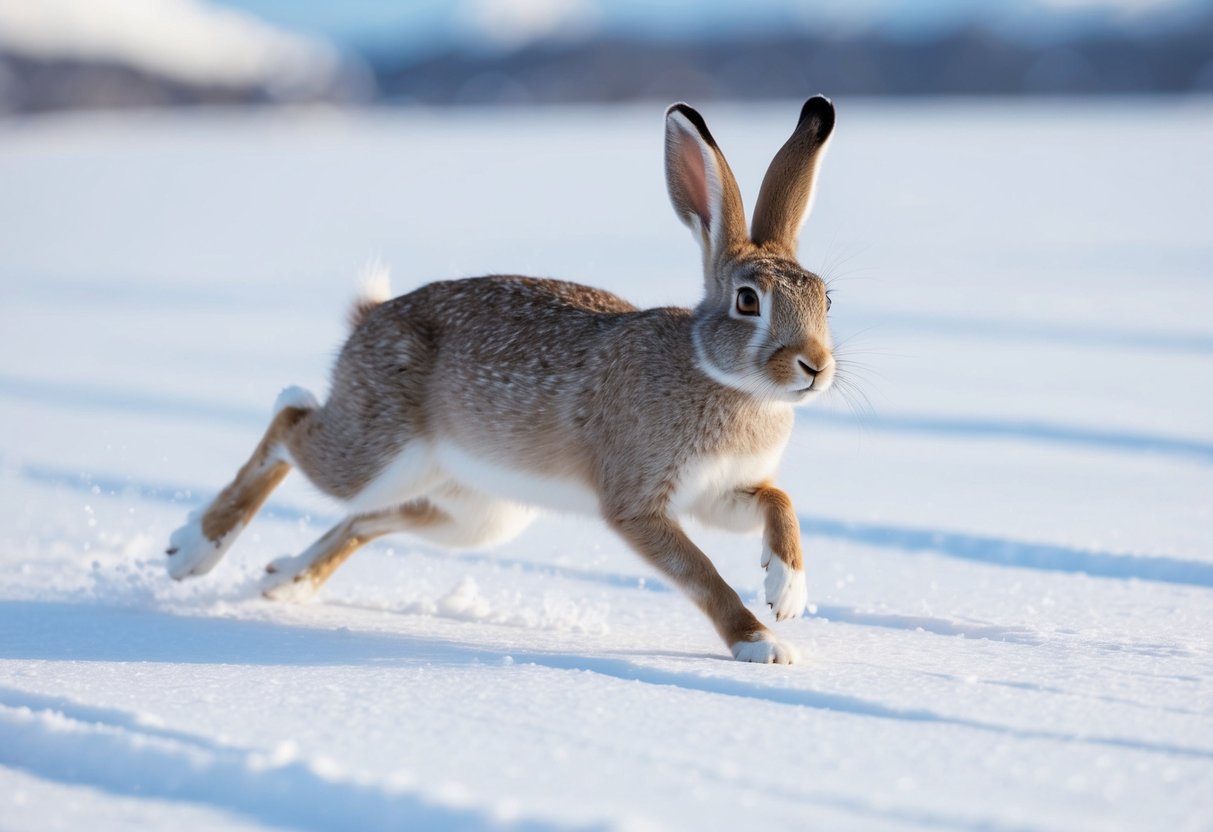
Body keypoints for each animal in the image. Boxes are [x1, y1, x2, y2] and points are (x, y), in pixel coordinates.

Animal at [166, 96, 838, 664]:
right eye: (748, 301)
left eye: (826, 298)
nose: (815, 367)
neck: (720, 375)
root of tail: (368, 319)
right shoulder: (637, 503)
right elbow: (700, 574)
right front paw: (763, 644)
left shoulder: (723, 493)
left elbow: (778, 501)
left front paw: (788, 589)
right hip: (377, 450)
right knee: (291, 419)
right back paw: (191, 552)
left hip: (472, 514)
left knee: (367, 517)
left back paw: (286, 581)